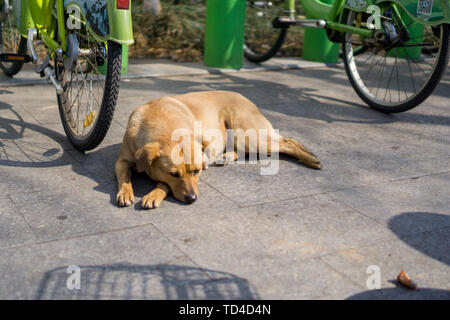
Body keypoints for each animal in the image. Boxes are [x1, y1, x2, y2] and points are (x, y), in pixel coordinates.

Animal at [115, 91, 320, 209]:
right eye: (173, 174)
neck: (162, 125)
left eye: (196, 171)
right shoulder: (122, 161)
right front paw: (125, 192)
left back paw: (311, 159)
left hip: (248, 136)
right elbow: (125, 176)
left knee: (288, 142)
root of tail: (246, 98)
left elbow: (162, 183)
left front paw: (154, 194)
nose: (192, 199)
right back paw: (225, 157)